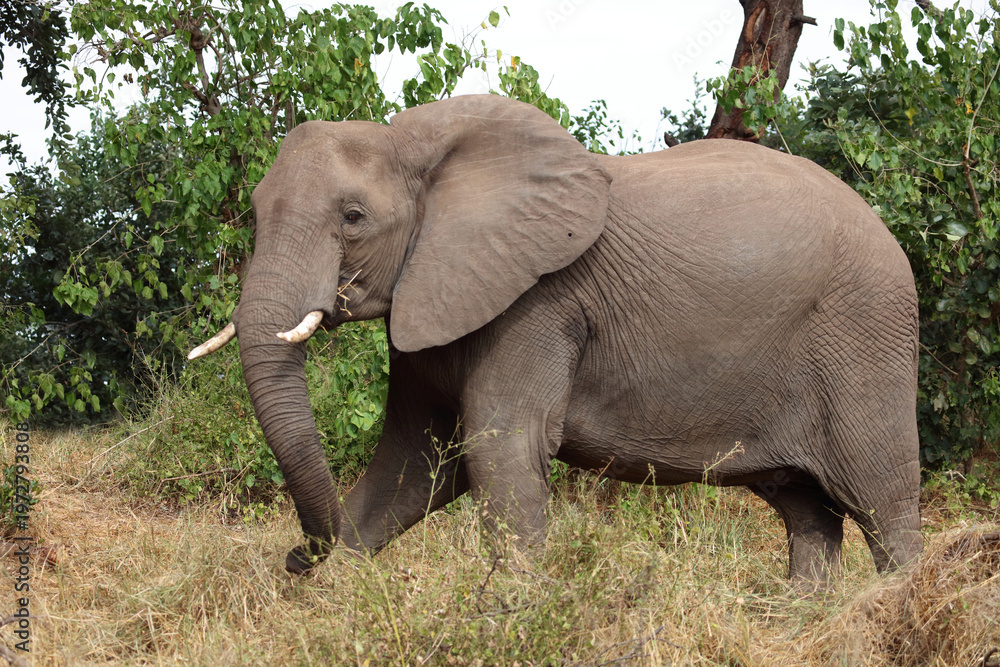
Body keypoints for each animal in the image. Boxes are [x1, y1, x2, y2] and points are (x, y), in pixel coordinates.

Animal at [189, 94, 922, 584]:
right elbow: (415, 463)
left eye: (352, 216)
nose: (293, 556)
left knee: (882, 501)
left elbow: (498, 451)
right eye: (253, 211)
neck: (417, 146)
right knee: (809, 513)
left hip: (864, 338)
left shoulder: (539, 303)